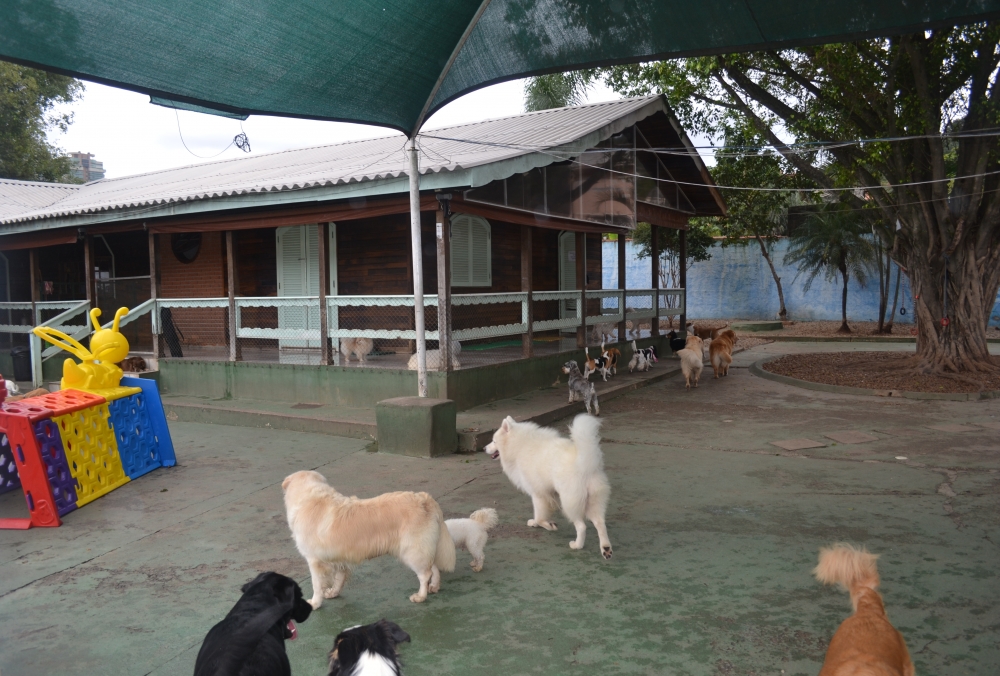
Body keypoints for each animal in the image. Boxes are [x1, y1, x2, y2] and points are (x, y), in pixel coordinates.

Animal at [280, 470, 456, 608]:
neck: (308, 498)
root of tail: (426, 499)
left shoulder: (315, 561)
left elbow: (316, 585)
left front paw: (314, 603)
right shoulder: (339, 558)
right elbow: (339, 578)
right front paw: (333, 592)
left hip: (411, 552)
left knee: (425, 573)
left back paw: (420, 596)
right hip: (423, 548)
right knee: (433, 567)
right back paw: (434, 586)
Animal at [482, 414, 612, 556]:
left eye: (494, 441)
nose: (484, 448)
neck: (519, 445)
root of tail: (586, 464)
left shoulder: (538, 494)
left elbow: (539, 515)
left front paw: (548, 525)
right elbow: (538, 515)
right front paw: (535, 523)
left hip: (569, 502)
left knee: (581, 526)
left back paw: (577, 545)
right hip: (594, 501)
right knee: (600, 523)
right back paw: (606, 549)